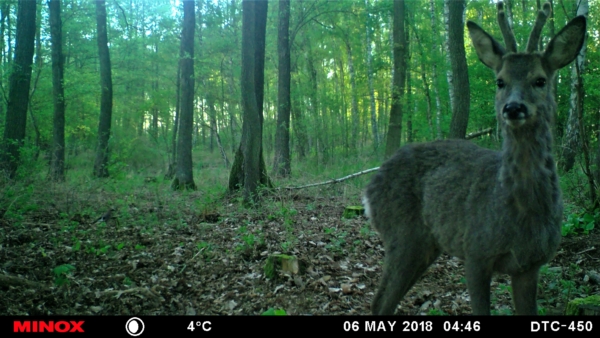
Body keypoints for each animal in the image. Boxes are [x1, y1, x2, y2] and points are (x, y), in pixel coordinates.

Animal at [364, 1, 588, 316]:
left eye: (540, 80)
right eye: (500, 81)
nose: (513, 108)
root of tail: (369, 187)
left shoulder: (530, 265)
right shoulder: (476, 251)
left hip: (427, 244)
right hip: (402, 233)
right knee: (380, 300)